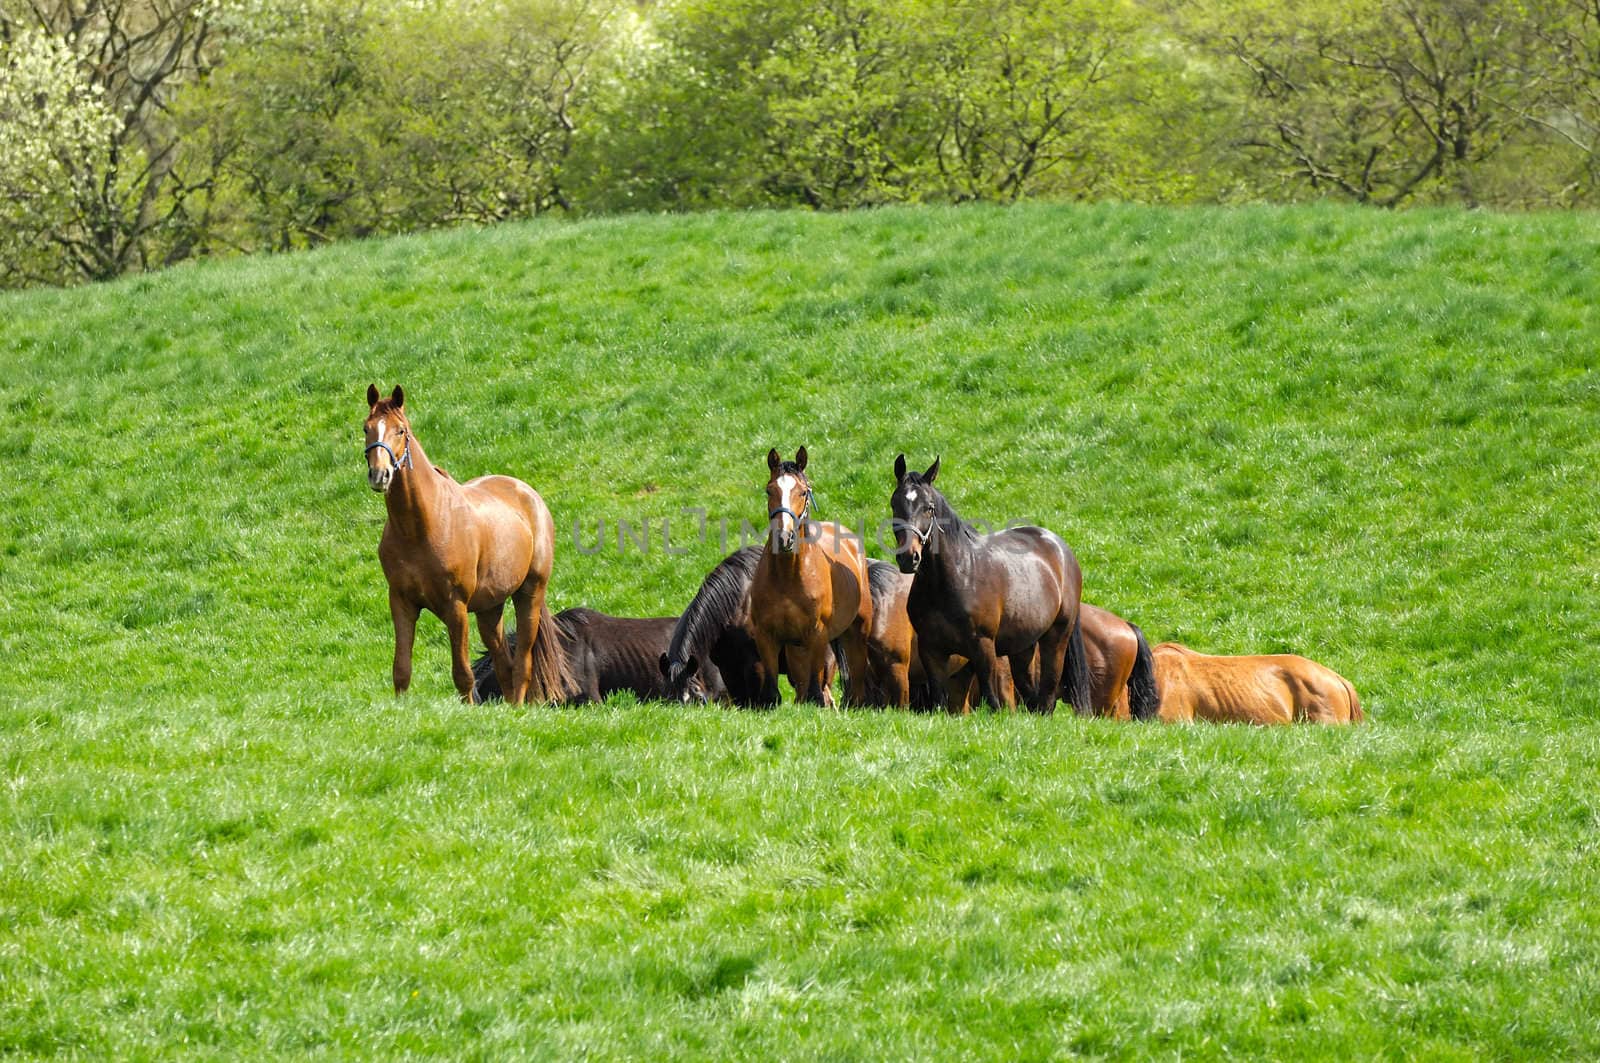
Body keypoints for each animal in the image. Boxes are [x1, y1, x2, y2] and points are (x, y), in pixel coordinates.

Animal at [363, 385, 569, 701]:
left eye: (401, 430)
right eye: (367, 428)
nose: (379, 475)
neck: (421, 527)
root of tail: (528, 494)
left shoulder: (455, 606)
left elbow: (462, 675)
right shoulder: (401, 602)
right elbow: (401, 670)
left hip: (530, 593)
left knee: (522, 664)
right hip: (489, 609)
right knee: (504, 665)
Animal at [748, 448, 876, 704]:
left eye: (803, 491)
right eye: (769, 490)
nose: (784, 537)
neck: (788, 576)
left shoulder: (817, 633)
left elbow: (816, 692)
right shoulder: (766, 635)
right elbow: (773, 692)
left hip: (857, 632)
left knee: (855, 684)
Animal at [889, 448, 1100, 714]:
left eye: (929, 508)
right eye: (895, 504)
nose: (909, 557)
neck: (955, 577)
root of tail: (1062, 551)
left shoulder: (984, 646)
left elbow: (991, 697)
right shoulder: (931, 649)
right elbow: (938, 700)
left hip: (1056, 638)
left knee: (1048, 693)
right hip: (1023, 646)